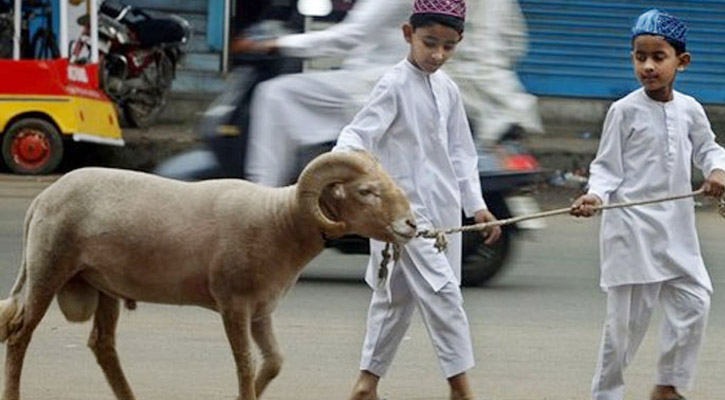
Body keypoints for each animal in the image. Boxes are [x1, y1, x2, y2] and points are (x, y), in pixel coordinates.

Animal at [0, 150, 412, 400]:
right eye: (366, 191)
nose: (410, 224)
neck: (279, 221)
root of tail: (43, 199)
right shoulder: (233, 304)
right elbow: (245, 365)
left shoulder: (261, 311)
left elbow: (274, 361)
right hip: (49, 267)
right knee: (20, 335)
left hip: (102, 286)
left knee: (102, 345)